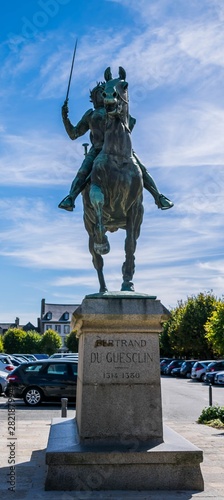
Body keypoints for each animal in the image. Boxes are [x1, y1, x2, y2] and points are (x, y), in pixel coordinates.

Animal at [82, 67, 144, 292]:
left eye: (124, 85)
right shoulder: (96, 190)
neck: (117, 155)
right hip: (88, 226)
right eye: (105, 88)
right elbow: (99, 205)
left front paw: (128, 282)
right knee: (97, 260)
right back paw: (103, 289)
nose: (109, 99)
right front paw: (103, 243)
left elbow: (130, 245)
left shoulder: (135, 209)